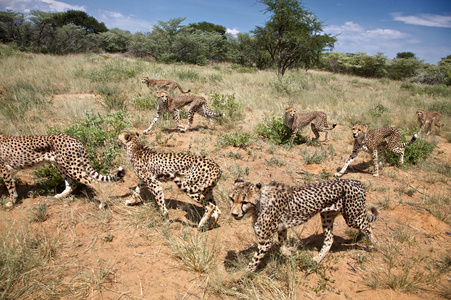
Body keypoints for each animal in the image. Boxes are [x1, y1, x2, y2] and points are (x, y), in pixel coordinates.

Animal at [230, 178, 378, 272]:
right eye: (232, 199)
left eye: (244, 202)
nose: (234, 214)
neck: (260, 203)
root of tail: (357, 182)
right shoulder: (282, 228)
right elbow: (282, 245)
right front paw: (290, 252)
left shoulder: (265, 240)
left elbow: (254, 260)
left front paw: (242, 274)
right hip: (327, 216)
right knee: (330, 239)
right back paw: (317, 259)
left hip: (352, 217)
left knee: (368, 225)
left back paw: (374, 245)